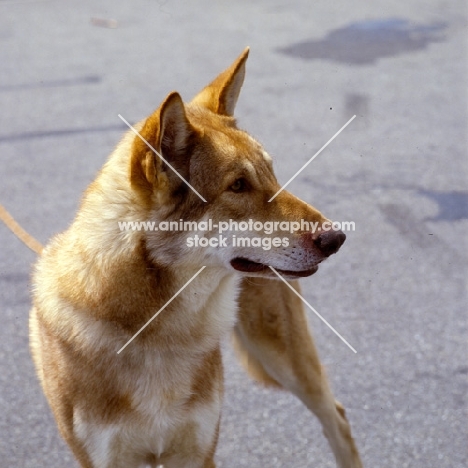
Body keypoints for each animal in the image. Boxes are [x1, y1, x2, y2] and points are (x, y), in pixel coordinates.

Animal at [25, 48, 362, 468]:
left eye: (272, 174)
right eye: (238, 185)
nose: (337, 238)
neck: (158, 330)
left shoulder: (197, 452)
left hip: (284, 361)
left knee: (338, 417)